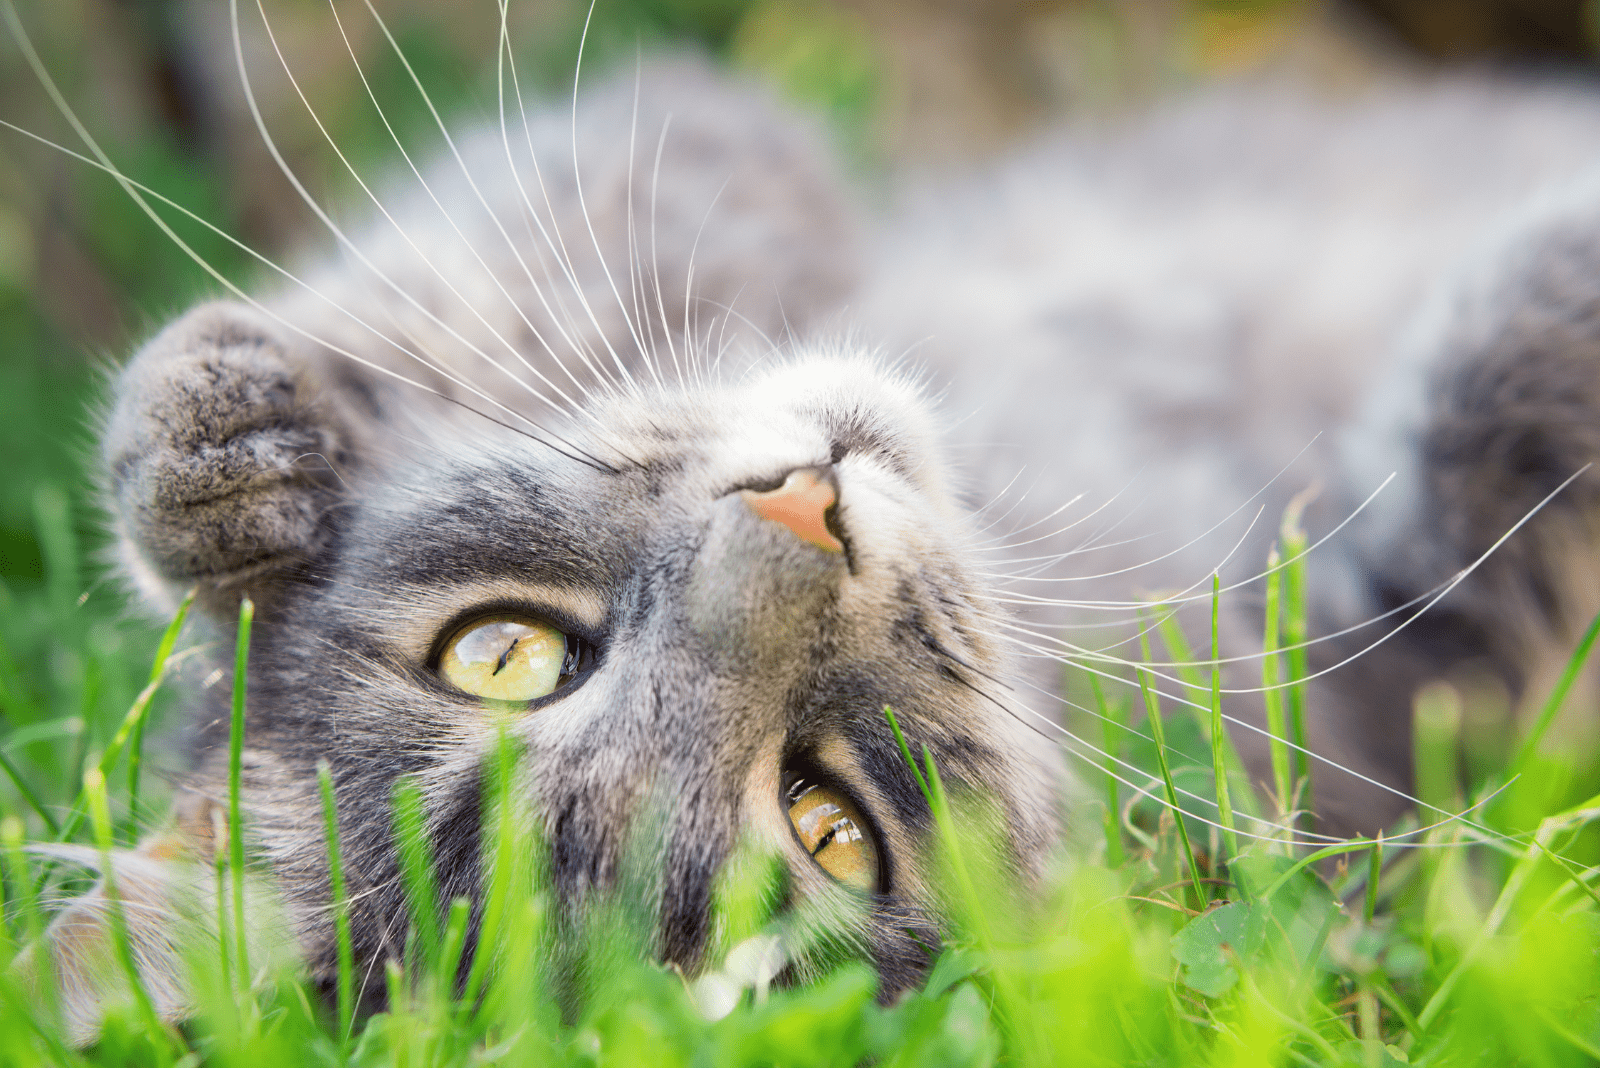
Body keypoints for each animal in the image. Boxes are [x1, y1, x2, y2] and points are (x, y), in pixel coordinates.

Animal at [25, 18, 1600, 1042]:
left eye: (503, 655)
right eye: (831, 827)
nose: (804, 509)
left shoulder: (676, 168)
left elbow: (479, 255)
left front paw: (230, 457)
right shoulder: (1391, 691)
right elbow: (1503, 426)